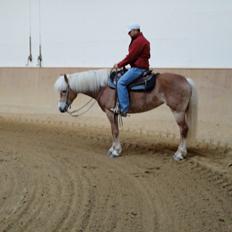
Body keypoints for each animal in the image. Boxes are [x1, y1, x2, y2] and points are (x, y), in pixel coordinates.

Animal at [54, 68, 198, 160]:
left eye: (63, 91)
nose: (61, 108)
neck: (103, 86)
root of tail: (186, 80)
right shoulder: (115, 113)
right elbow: (115, 131)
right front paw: (113, 149)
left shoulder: (109, 112)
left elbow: (114, 131)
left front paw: (116, 152)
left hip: (177, 111)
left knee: (184, 130)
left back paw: (179, 154)